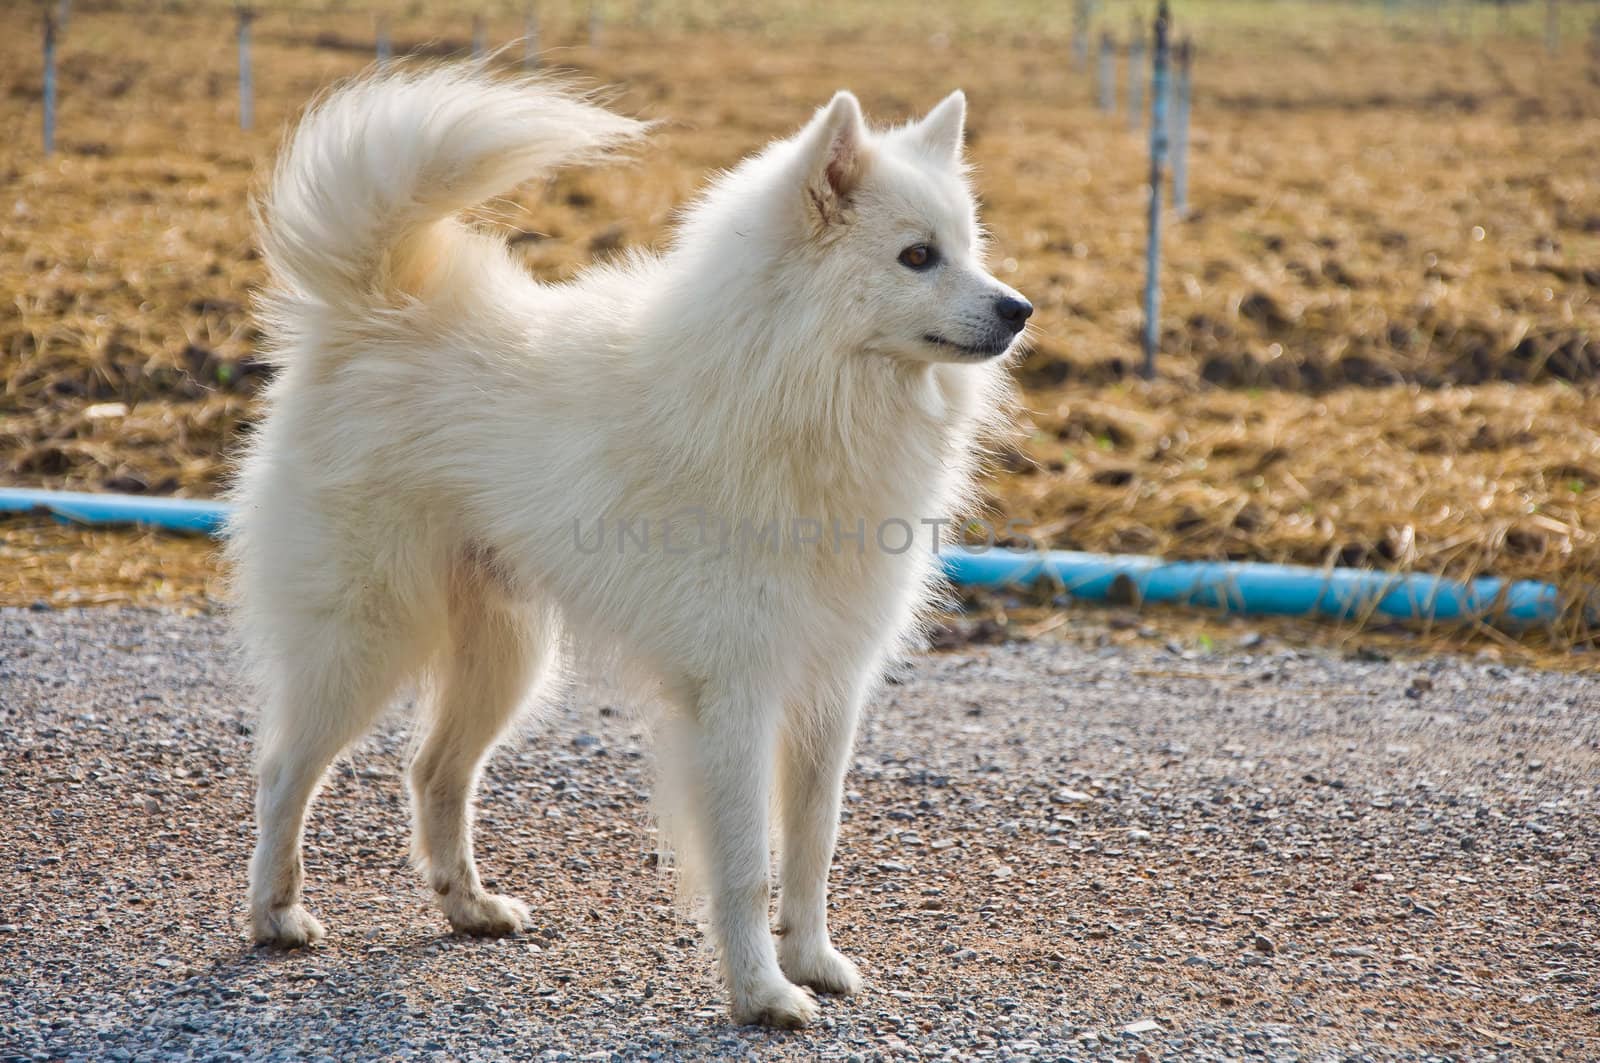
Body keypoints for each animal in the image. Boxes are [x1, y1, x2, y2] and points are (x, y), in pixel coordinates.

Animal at [232, 66, 1030, 1030]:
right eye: (918, 256)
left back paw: (470, 906)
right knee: (285, 770)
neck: (791, 382)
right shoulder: (734, 695)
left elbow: (812, 845)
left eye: (969, 248)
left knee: (433, 772)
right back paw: (275, 913)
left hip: (506, 656)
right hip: (365, 640)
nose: (1021, 309)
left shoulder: (829, 690)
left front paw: (814, 960)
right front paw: (764, 992)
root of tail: (374, 309)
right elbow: (745, 864)